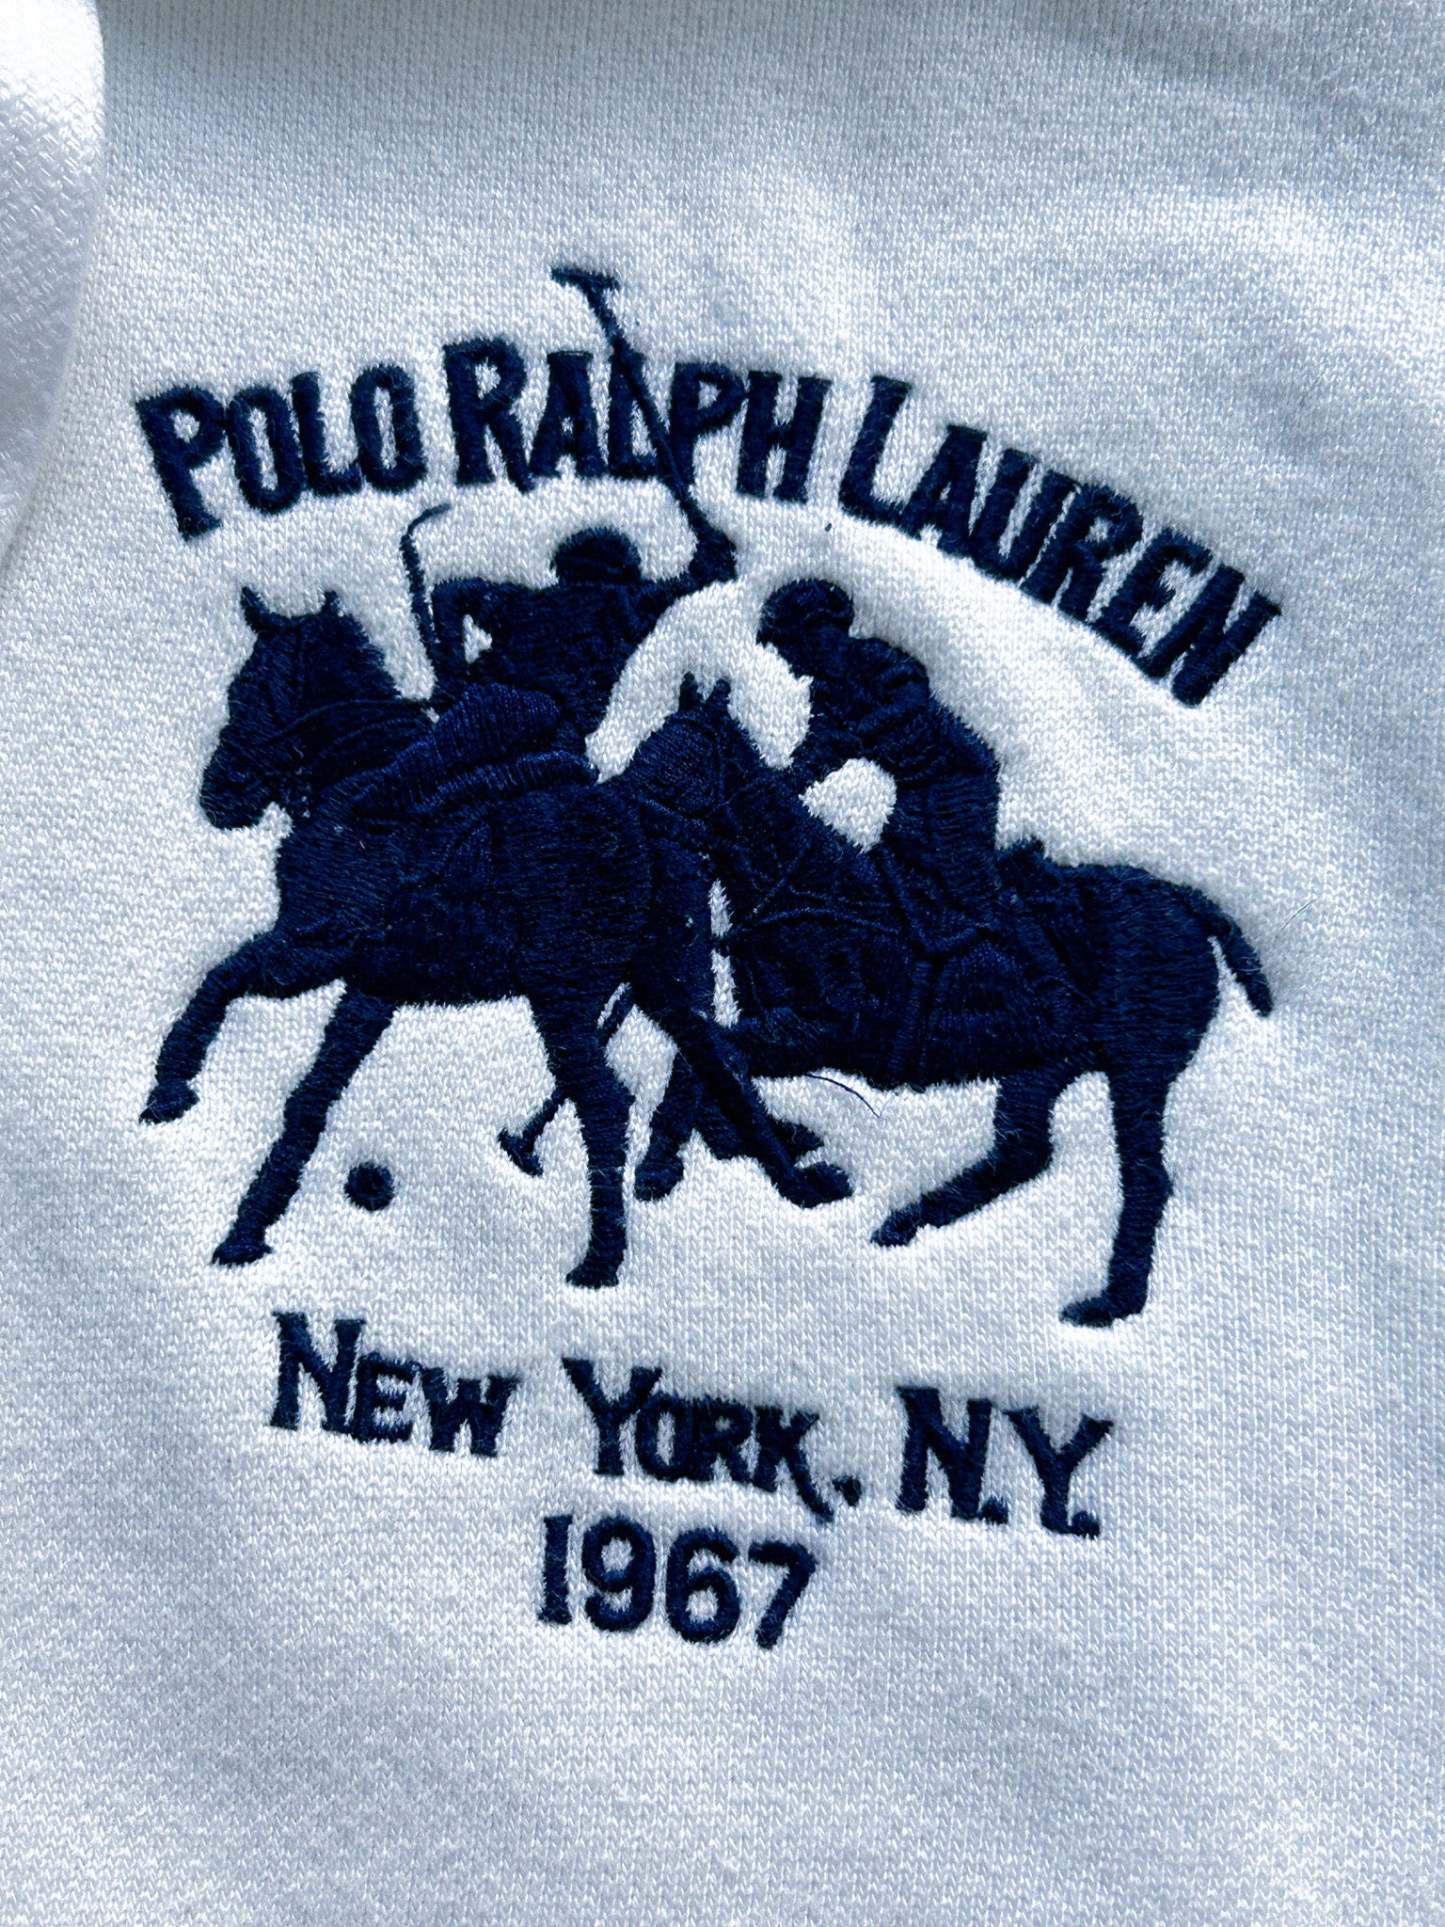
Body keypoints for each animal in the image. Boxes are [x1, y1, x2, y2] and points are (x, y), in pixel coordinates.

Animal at [141, 591, 848, 1287]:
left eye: (247, 689)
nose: (219, 795)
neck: (359, 774)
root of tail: (651, 831)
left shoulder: (316, 945)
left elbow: (221, 978)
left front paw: (171, 1088)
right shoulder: (372, 984)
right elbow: (309, 1099)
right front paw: (247, 1230)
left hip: (562, 991)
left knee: (605, 1100)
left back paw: (601, 1259)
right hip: (671, 981)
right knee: (721, 1060)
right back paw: (796, 1186)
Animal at [509, 682, 1272, 1327]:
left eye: (681, 753)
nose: (614, 823)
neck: (806, 890)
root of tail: (1189, 901)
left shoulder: (832, 1030)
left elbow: (711, 1060)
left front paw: (668, 1159)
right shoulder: (789, 1029)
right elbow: (715, 1065)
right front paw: (757, 1143)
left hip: (1138, 1063)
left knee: (1144, 1175)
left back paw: (1110, 1300)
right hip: (1044, 1058)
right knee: (1023, 1150)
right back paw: (908, 1219)